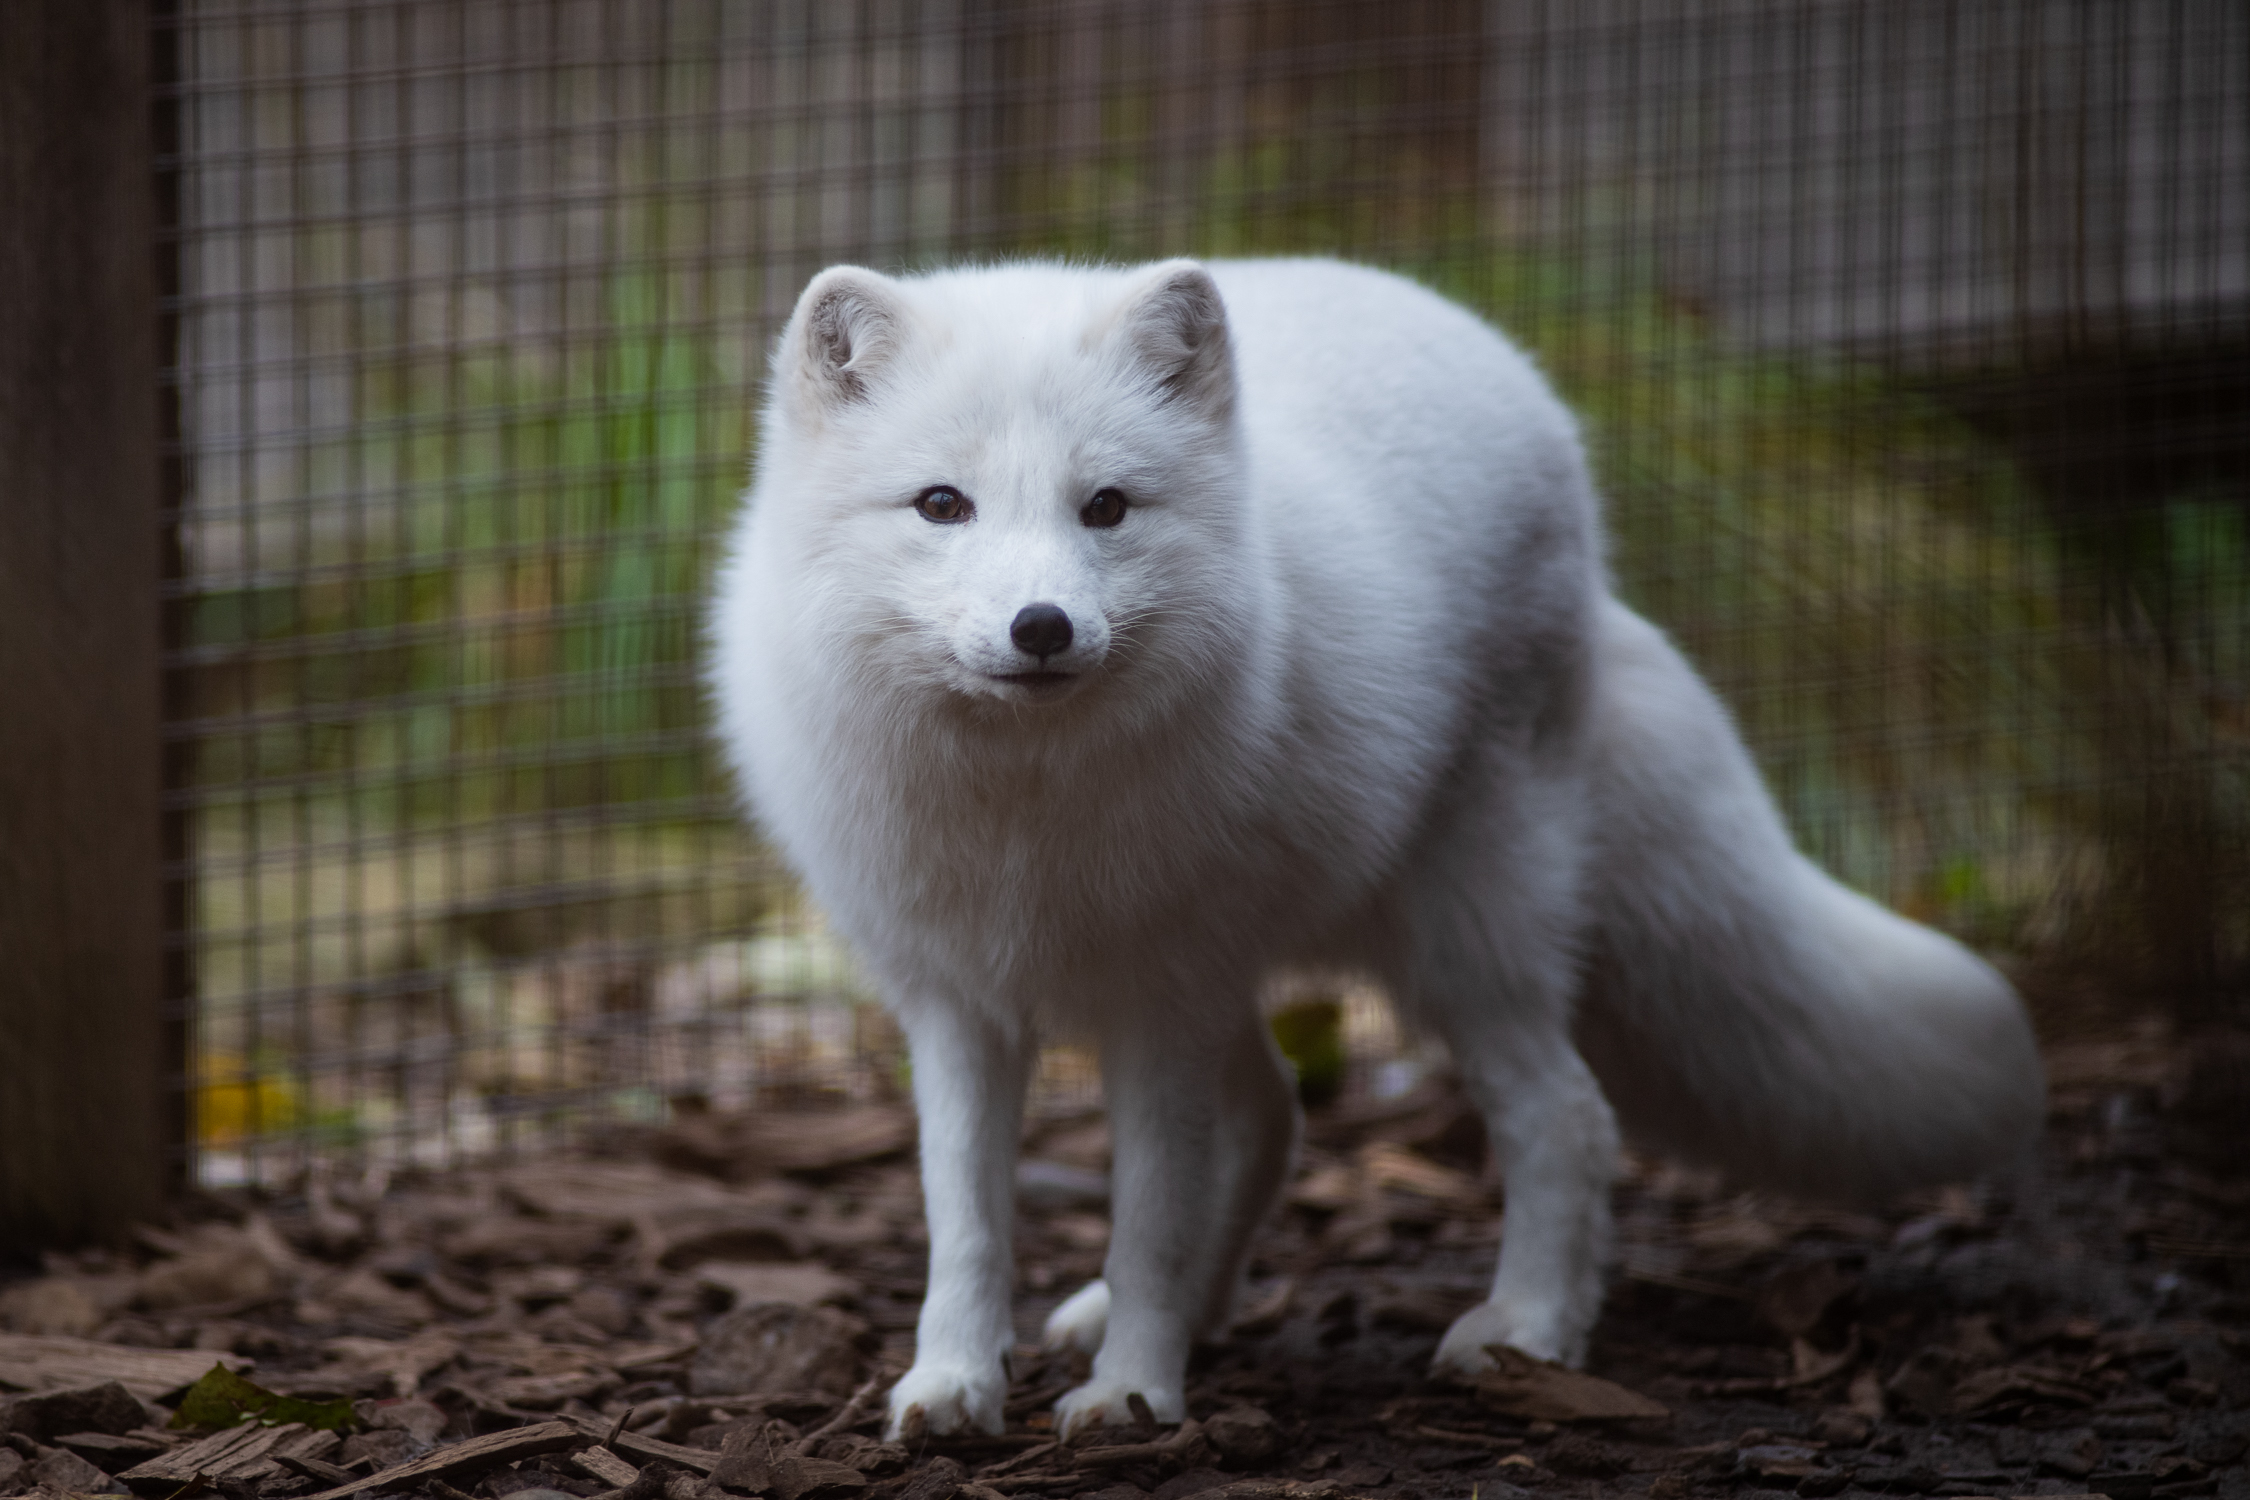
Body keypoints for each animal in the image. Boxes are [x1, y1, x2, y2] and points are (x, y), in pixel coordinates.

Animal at [711, 258, 2052, 1439]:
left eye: (1107, 507)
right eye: (943, 505)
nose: (1041, 627)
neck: (1021, 804)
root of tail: (1496, 358)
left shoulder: (1155, 1002)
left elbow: (1147, 1218)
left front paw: (1135, 1398)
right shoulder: (957, 1002)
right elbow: (966, 1224)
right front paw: (952, 1386)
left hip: (1461, 932)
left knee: (1564, 1114)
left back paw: (1526, 1332)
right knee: (1274, 1115)